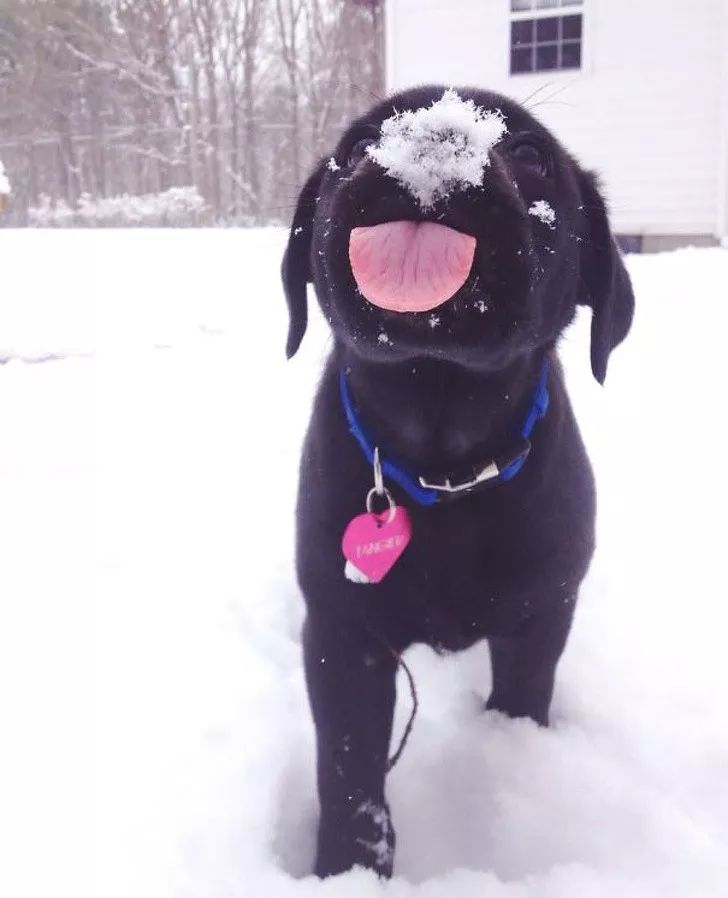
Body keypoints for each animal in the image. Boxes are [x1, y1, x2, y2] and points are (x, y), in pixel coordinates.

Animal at [282, 86, 636, 876]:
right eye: (357, 146)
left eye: (532, 153)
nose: (434, 132)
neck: (442, 467)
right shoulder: (343, 633)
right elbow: (348, 771)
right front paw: (348, 871)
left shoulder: (540, 617)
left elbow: (522, 698)